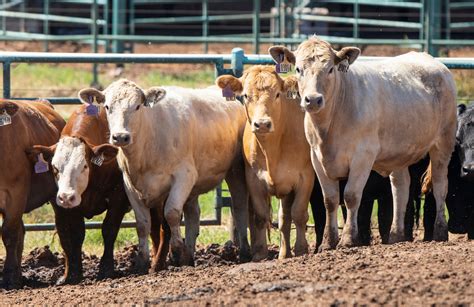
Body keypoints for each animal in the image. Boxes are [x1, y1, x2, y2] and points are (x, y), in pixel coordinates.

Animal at [29, 105, 133, 284]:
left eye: (84, 166)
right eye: (54, 167)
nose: (65, 197)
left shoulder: (118, 199)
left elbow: (109, 229)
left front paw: (106, 269)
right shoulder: (69, 207)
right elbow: (75, 235)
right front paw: (73, 274)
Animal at [77, 79, 252, 270]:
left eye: (137, 106)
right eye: (107, 107)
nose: (120, 137)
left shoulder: (184, 176)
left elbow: (172, 214)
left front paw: (177, 252)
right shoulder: (129, 185)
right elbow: (142, 223)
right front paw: (142, 261)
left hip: (235, 170)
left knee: (240, 206)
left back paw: (244, 252)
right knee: (193, 215)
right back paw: (189, 256)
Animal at [216, 66, 312, 262]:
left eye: (277, 94)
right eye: (245, 95)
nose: (262, 124)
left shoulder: (306, 177)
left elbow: (299, 213)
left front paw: (301, 249)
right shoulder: (253, 179)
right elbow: (260, 216)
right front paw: (260, 253)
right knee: (283, 219)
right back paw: (283, 253)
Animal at [268, 37, 458, 250]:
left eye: (330, 69)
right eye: (298, 69)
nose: (313, 100)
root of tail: (433, 61)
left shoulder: (363, 157)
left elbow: (351, 196)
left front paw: (348, 239)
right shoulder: (316, 158)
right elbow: (330, 200)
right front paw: (328, 242)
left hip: (443, 142)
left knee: (440, 185)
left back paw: (440, 232)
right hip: (399, 153)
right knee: (400, 188)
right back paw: (396, 235)